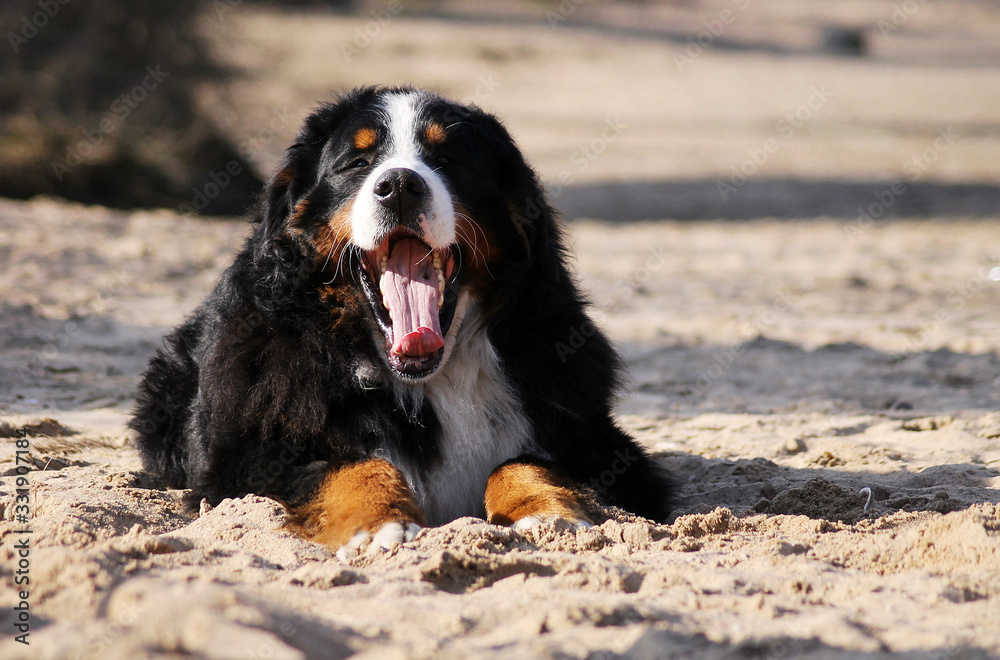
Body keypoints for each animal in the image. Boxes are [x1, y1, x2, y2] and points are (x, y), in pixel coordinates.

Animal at [125, 85, 672, 556]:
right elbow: (353, 465)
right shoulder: (246, 458)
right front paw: (379, 525)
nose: (400, 186)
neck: (429, 380)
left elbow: (524, 461)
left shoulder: (602, 445)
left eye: (448, 160)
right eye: (357, 163)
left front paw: (548, 514)